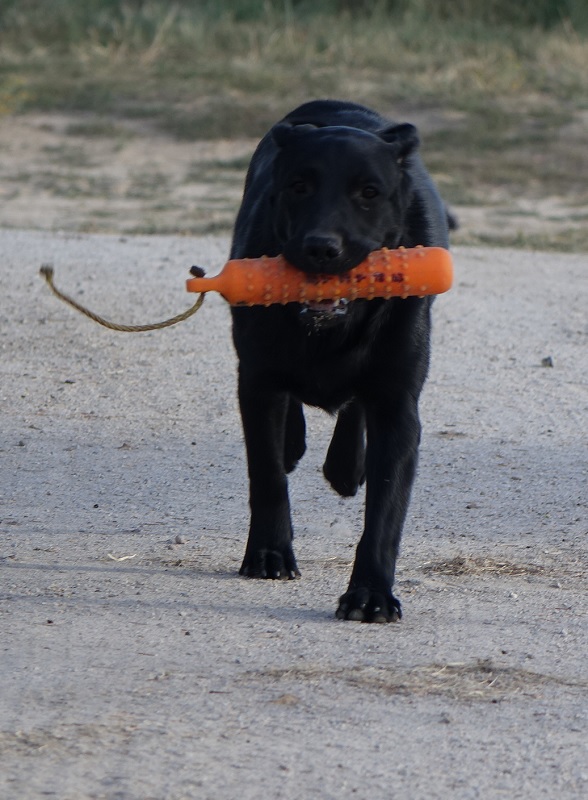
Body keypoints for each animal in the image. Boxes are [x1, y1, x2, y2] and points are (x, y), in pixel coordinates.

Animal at [229, 100, 450, 620]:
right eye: (299, 186)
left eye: (369, 192)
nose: (320, 248)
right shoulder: (256, 382)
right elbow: (267, 473)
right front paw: (269, 553)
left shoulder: (397, 406)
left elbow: (385, 513)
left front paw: (370, 594)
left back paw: (346, 469)